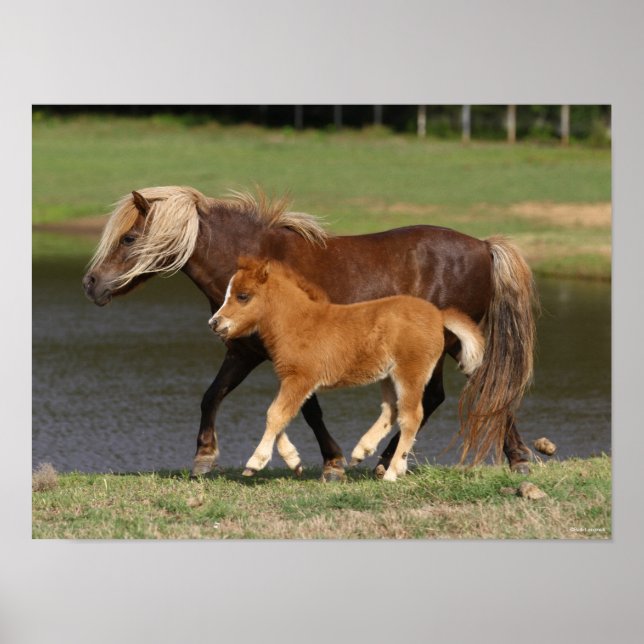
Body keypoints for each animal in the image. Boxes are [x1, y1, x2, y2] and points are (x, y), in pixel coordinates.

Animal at [209, 257, 486, 481]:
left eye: (243, 296)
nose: (214, 323)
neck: (299, 322)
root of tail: (438, 316)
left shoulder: (300, 378)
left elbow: (276, 414)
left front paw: (255, 463)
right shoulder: (291, 379)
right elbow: (281, 414)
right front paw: (294, 460)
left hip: (410, 373)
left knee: (411, 416)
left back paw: (393, 471)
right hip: (389, 375)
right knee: (391, 410)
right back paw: (361, 451)